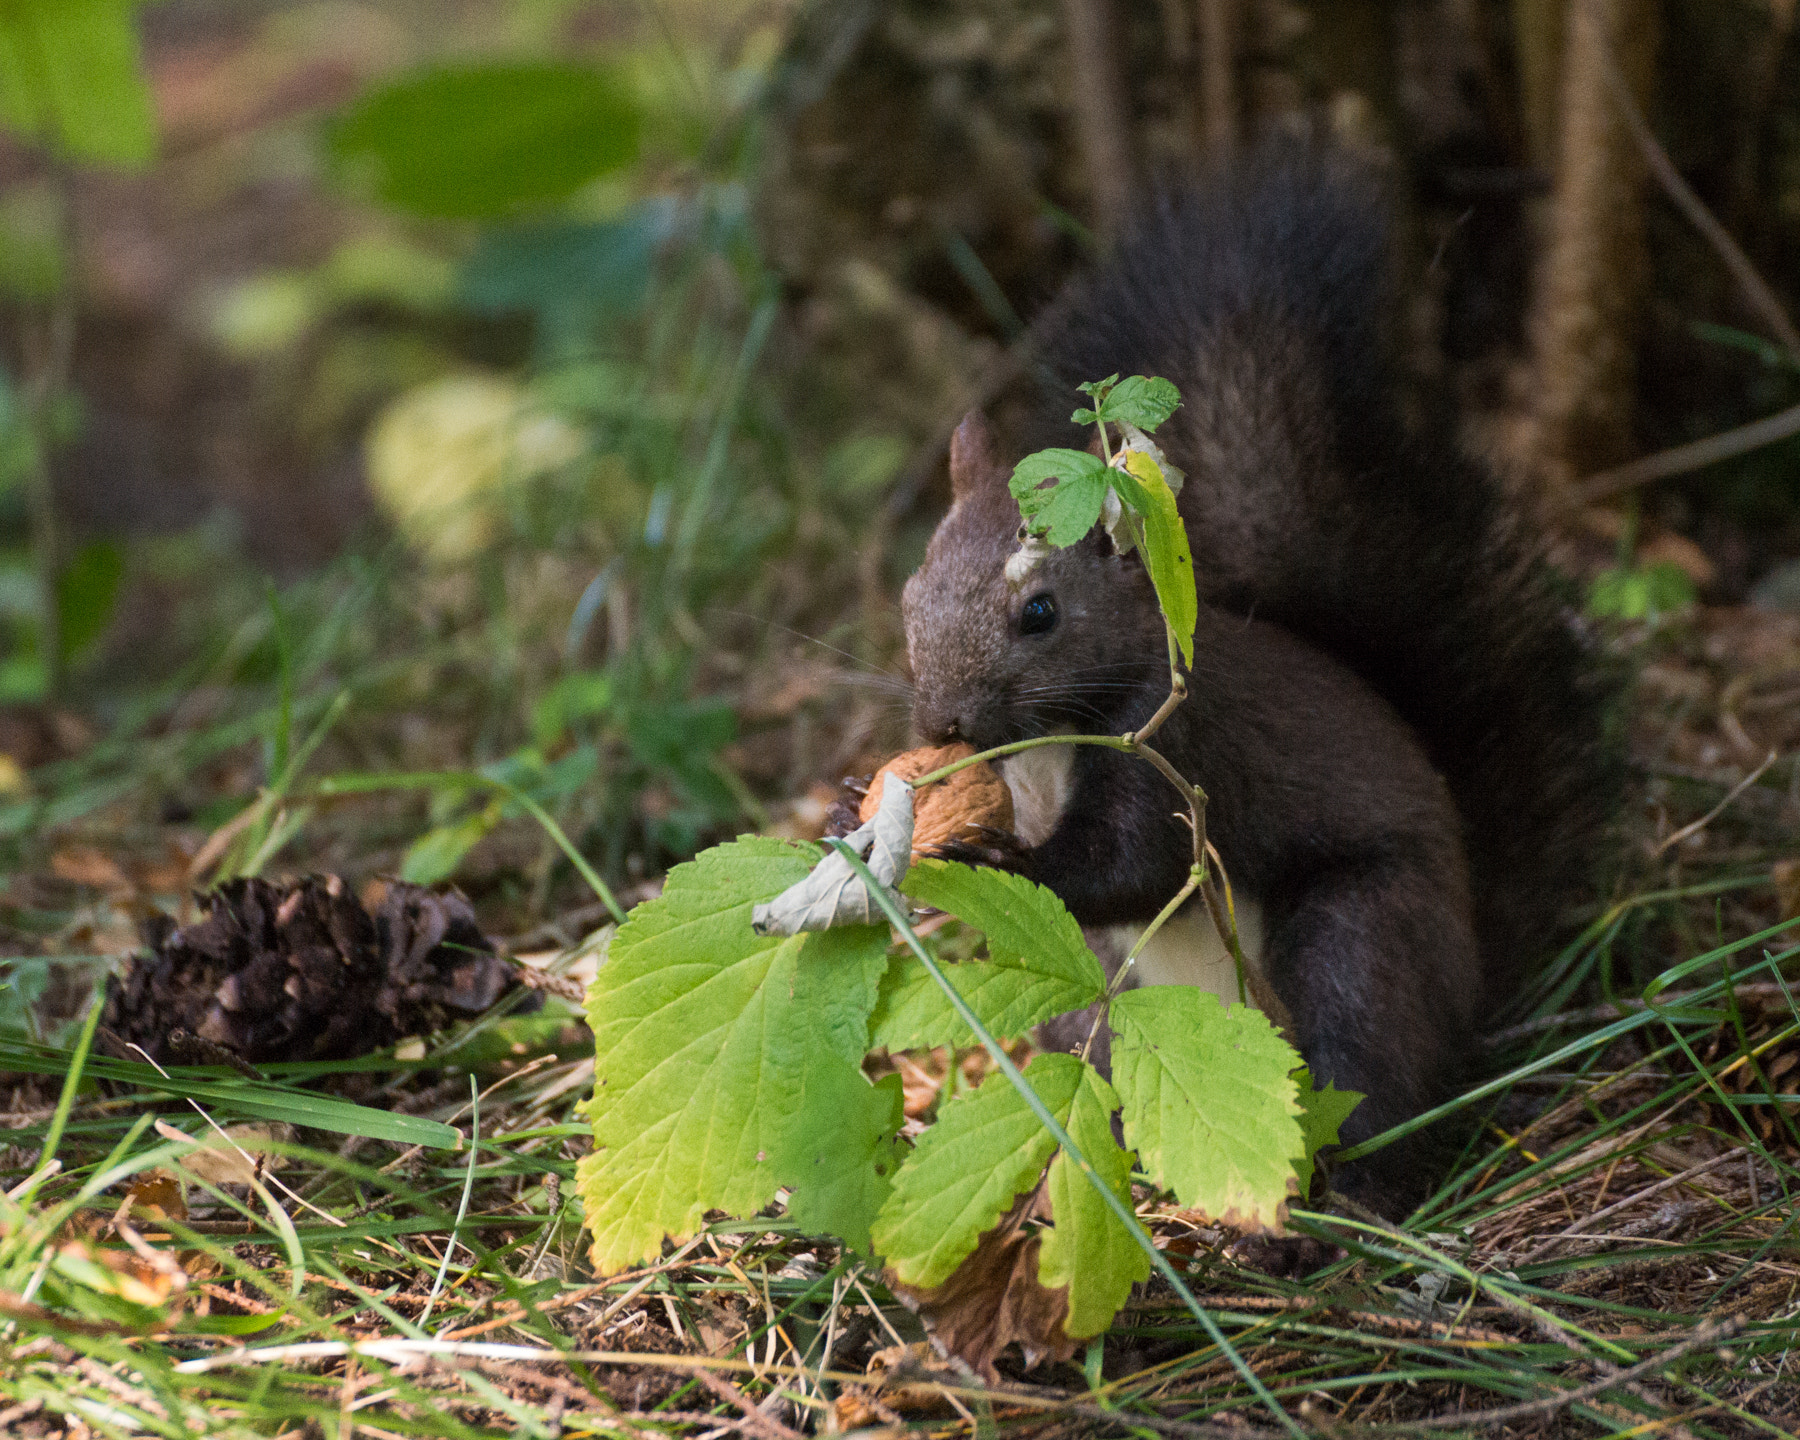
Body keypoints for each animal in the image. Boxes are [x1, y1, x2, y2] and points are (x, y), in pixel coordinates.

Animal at [885, 145, 1620, 1209]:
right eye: (911, 591)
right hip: (1101, 1006)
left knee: (1369, 1079)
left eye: (1041, 613)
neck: (1057, 745)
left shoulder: (1185, 755)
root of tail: (1476, 965)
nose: (942, 723)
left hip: (1364, 945)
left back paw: (1344, 1201)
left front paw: (985, 863)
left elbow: (1128, 867)